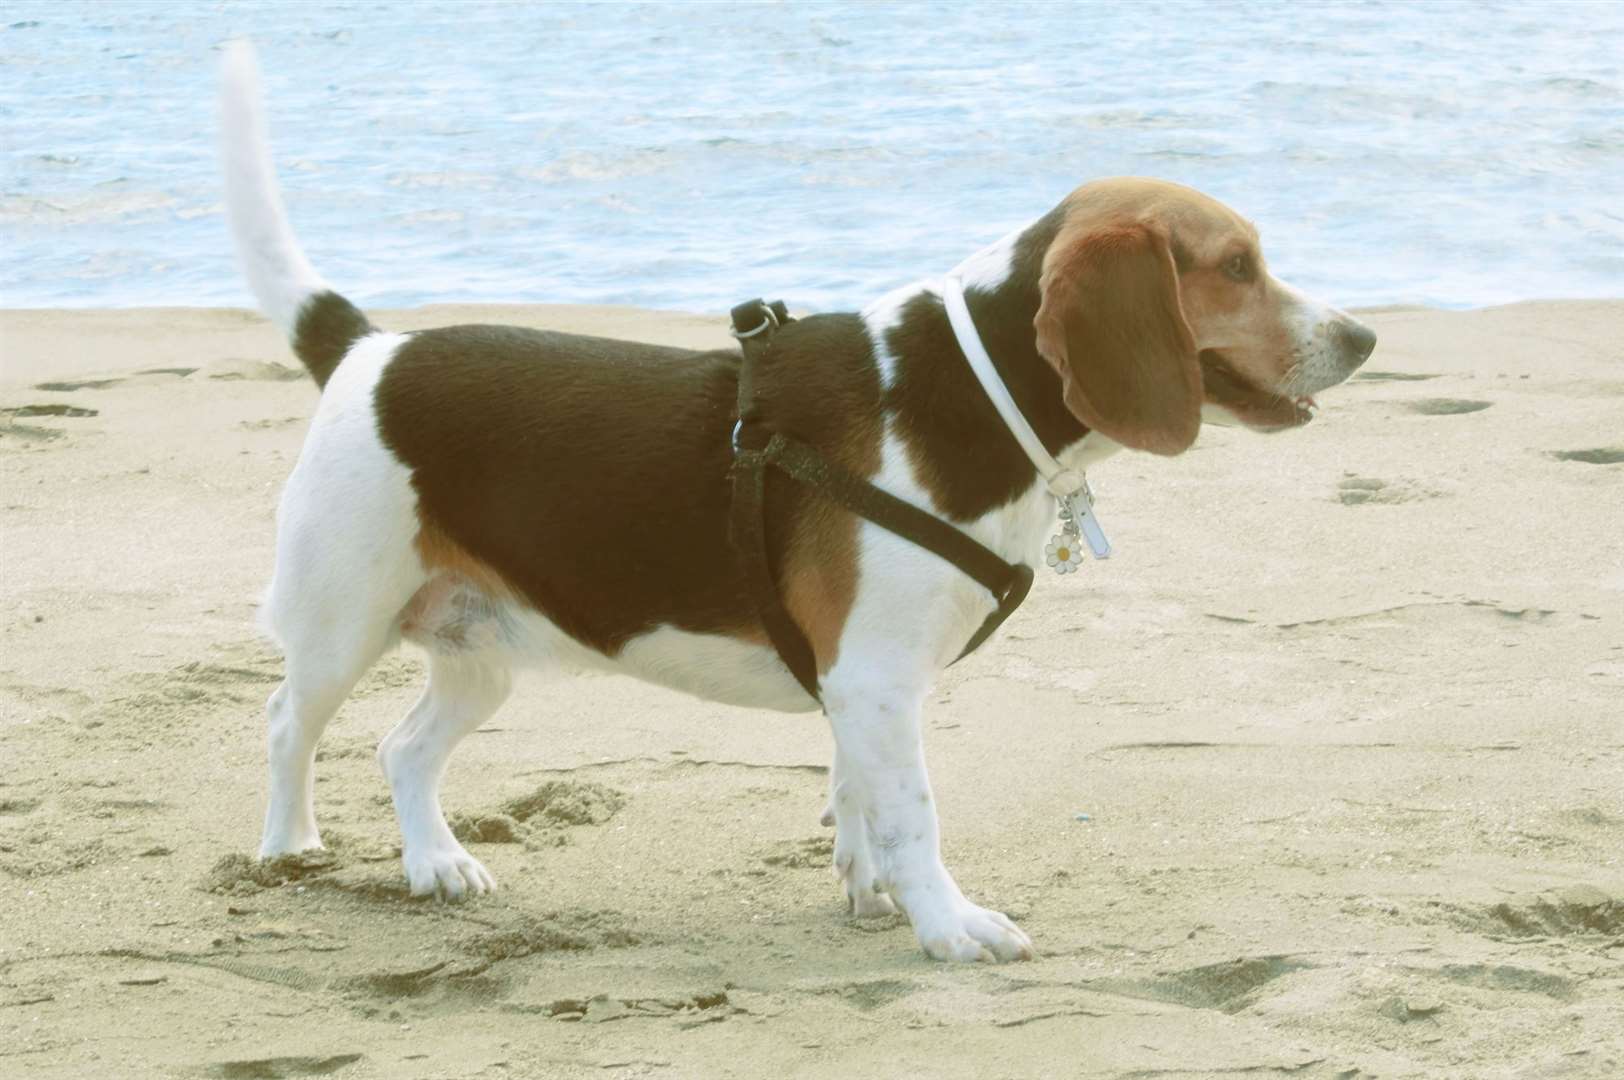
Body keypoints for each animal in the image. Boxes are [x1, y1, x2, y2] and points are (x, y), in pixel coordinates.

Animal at [222, 39, 1377, 961]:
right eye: (1237, 265)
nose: (1365, 336)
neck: (974, 387)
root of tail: (369, 347)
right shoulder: (876, 680)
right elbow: (913, 815)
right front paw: (949, 926)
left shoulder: (857, 689)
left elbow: (859, 801)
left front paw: (871, 893)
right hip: (340, 623)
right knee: (287, 724)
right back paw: (288, 849)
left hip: (480, 652)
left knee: (403, 749)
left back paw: (436, 864)